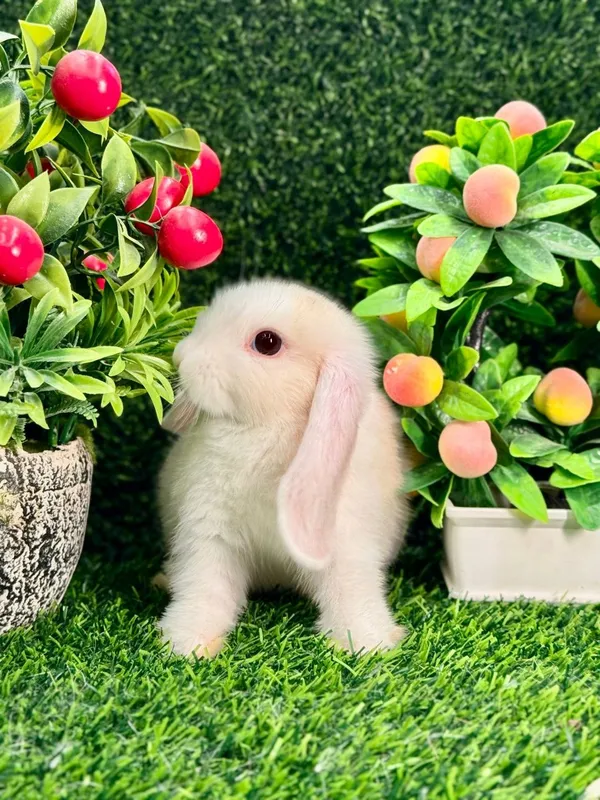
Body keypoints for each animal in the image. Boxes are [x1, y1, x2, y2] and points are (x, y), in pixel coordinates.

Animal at [157, 279, 408, 657]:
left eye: (267, 342)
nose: (181, 357)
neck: (264, 428)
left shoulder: (347, 544)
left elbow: (351, 591)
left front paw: (368, 642)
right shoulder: (210, 533)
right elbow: (204, 587)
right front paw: (187, 641)